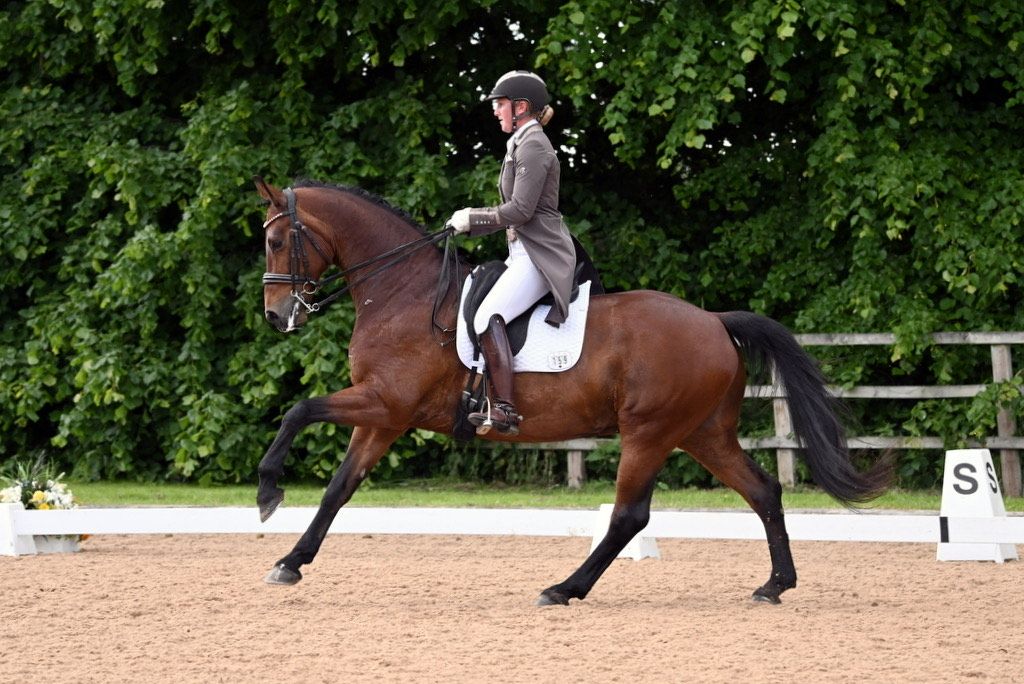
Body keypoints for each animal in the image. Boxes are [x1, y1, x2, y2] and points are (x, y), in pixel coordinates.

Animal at [249, 175, 888, 602]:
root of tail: (714, 321)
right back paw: (774, 585)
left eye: (277, 242)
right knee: (763, 492)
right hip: (703, 433)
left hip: (650, 433)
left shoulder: (386, 402)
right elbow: (338, 489)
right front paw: (290, 562)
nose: (278, 316)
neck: (403, 293)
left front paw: (268, 493)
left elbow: (298, 410)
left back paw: (564, 588)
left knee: (629, 516)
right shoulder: (382, 416)